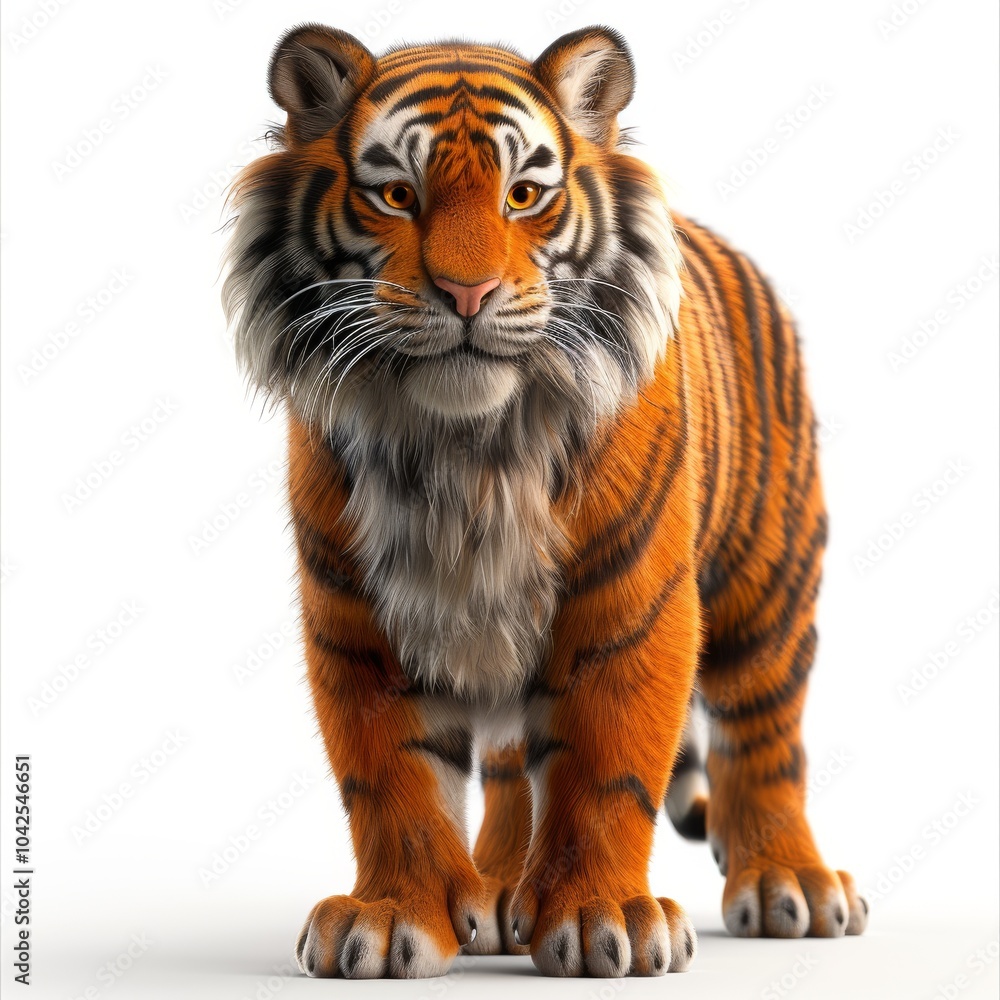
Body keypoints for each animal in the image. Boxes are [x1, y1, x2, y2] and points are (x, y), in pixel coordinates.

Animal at [222, 23, 868, 979]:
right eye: (398, 195)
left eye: (523, 195)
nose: (467, 293)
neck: (467, 448)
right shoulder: (357, 617)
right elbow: (390, 778)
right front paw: (391, 917)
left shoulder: (630, 605)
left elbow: (605, 769)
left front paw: (608, 920)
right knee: (510, 768)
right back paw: (497, 892)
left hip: (768, 584)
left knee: (765, 734)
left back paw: (793, 885)